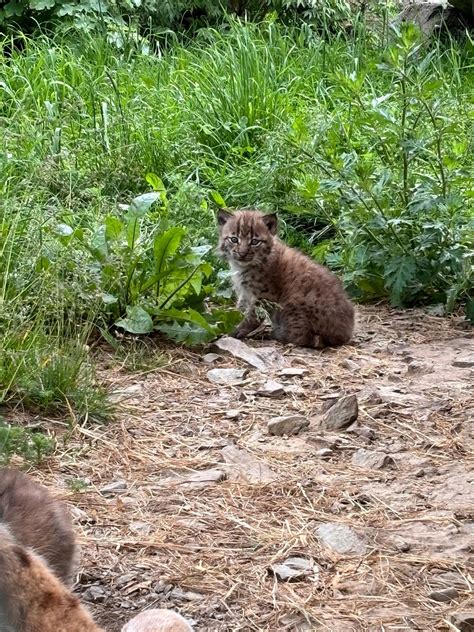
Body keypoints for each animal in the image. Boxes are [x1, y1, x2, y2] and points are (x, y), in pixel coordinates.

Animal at [217, 210, 354, 348]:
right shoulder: (245, 293)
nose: (242, 254)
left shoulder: (265, 296)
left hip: (292, 304)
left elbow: (253, 316)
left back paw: (276, 334)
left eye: (255, 242)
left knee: (306, 338)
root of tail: (345, 333)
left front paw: (236, 330)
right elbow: (240, 310)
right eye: (234, 239)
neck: (243, 266)